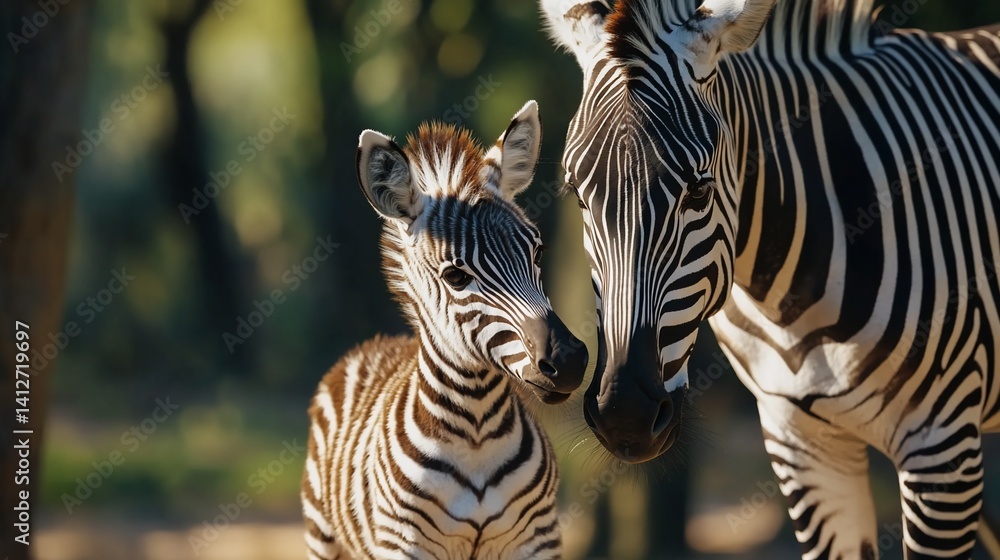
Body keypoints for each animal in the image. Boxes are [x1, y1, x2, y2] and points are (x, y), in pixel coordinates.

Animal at [300, 101, 589, 560]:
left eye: (538, 252)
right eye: (455, 276)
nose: (568, 360)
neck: (477, 431)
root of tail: (376, 343)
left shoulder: (538, 541)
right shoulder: (404, 546)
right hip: (322, 537)